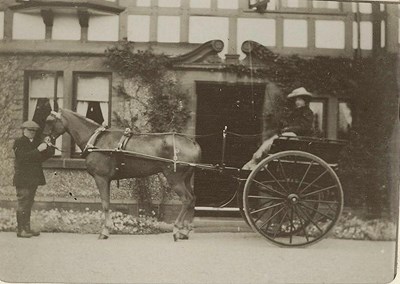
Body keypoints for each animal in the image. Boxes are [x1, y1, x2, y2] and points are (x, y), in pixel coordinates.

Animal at [42, 108, 202, 240]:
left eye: (49, 121)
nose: (45, 141)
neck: (96, 140)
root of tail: (192, 143)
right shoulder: (107, 180)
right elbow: (107, 202)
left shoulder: (101, 178)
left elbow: (105, 204)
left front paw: (105, 231)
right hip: (186, 179)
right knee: (192, 199)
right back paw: (185, 231)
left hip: (174, 179)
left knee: (186, 199)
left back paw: (176, 229)